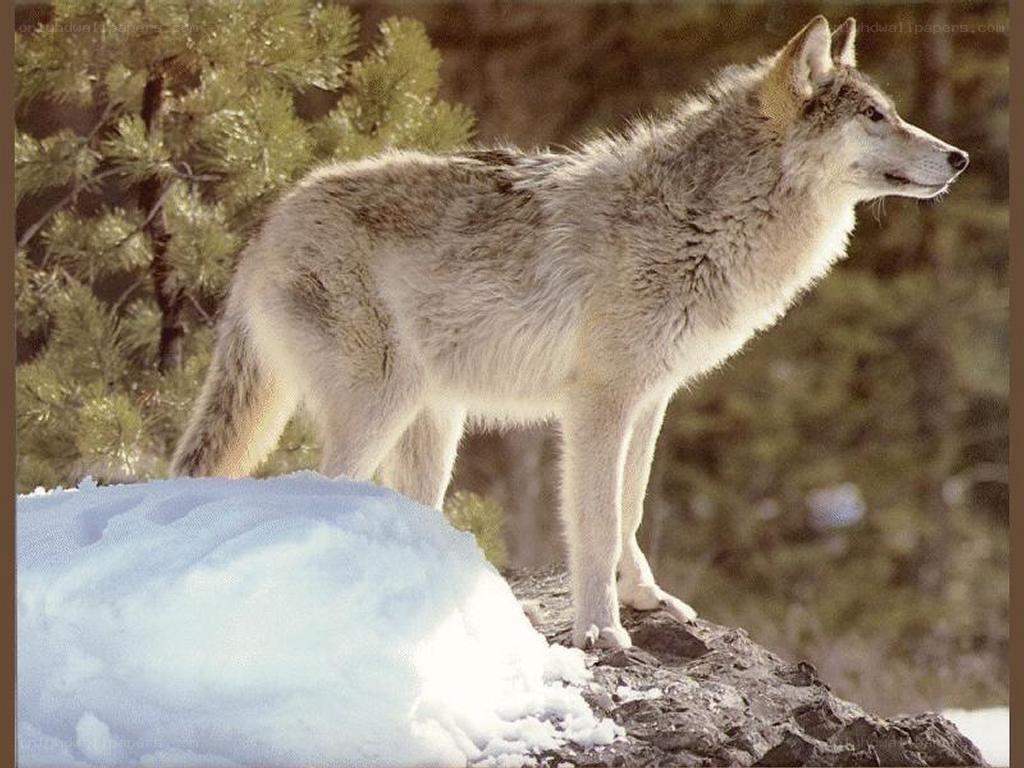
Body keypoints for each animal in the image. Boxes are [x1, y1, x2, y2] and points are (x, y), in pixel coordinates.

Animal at [173, 16, 968, 649]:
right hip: (382, 406)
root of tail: (266, 227)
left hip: (435, 423)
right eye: (875, 116)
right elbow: (595, 522)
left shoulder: (651, 399)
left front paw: (647, 599)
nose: (959, 156)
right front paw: (602, 631)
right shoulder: (597, 404)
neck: (701, 220)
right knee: (320, 491)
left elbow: (632, 508)